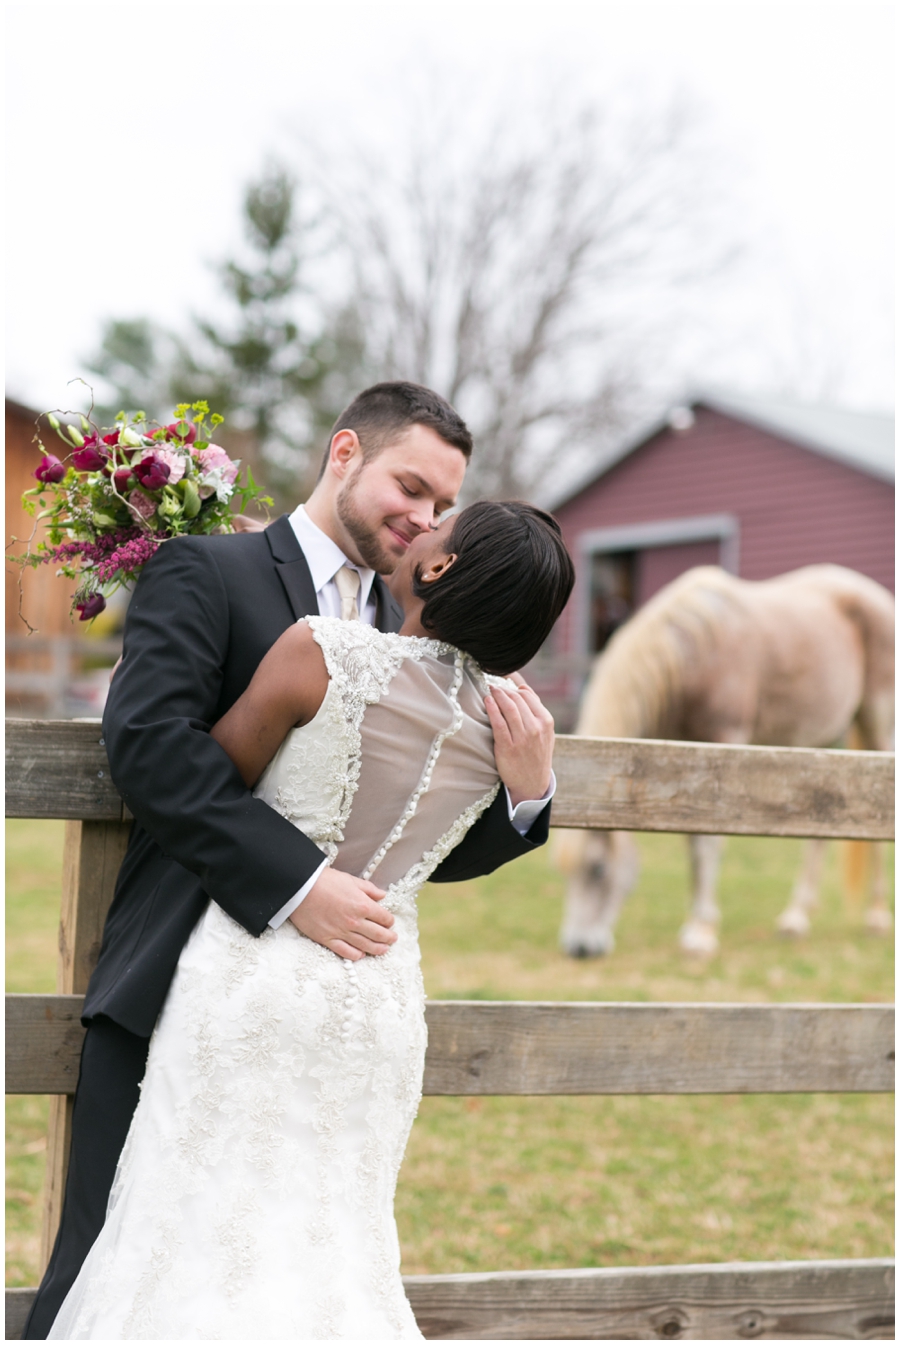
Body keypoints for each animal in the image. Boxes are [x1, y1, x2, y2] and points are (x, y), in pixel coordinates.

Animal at [554, 564, 893, 957]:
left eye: (597, 870)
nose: (579, 948)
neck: (694, 655)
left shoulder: (722, 743)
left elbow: (708, 843)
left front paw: (701, 932)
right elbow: (692, 841)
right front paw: (694, 924)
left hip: (876, 722)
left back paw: (877, 917)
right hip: (822, 739)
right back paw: (795, 918)